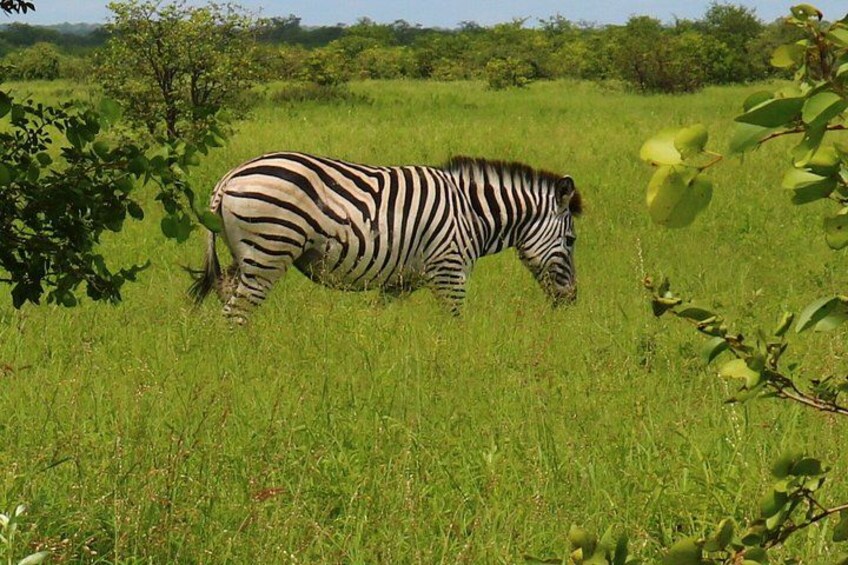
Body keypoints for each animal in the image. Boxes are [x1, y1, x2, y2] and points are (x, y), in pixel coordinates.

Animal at [189, 152, 582, 322]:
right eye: (572, 241)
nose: (572, 300)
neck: (473, 213)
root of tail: (230, 177)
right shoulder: (450, 271)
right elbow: (454, 324)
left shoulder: (399, 282)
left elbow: (379, 319)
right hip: (269, 251)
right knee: (237, 311)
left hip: (244, 256)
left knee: (229, 297)